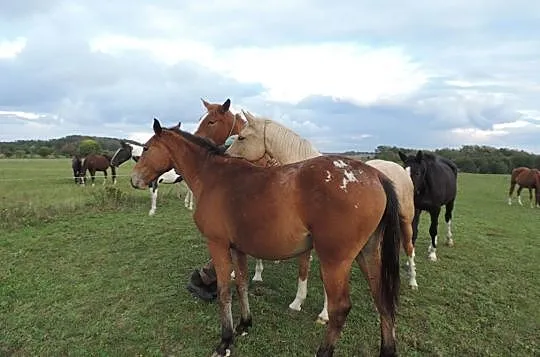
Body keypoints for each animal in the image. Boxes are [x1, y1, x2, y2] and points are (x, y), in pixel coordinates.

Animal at [130, 119, 400, 356]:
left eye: (146, 148)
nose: (134, 180)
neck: (213, 176)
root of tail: (375, 175)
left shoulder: (217, 244)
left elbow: (225, 291)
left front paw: (225, 341)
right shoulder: (237, 248)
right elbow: (241, 284)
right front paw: (244, 324)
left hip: (335, 261)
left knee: (340, 309)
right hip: (367, 254)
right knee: (383, 301)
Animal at [224, 111, 418, 326]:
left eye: (242, 137)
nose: (226, 158)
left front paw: (324, 314)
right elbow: (303, 269)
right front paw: (297, 302)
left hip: (406, 221)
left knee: (409, 248)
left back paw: (413, 281)